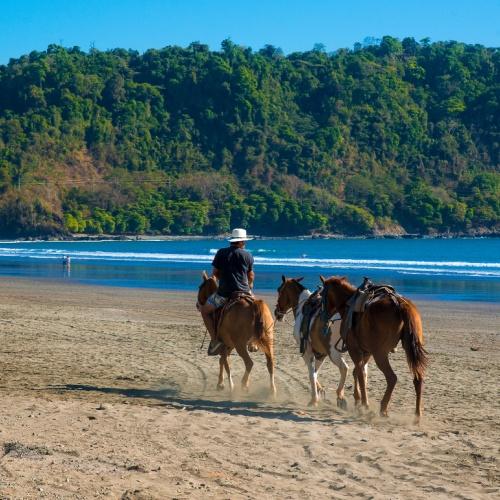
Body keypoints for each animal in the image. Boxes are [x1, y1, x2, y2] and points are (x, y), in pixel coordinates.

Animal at [318, 276, 428, 420]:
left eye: (322, 296)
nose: (322, 316)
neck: (348, 304)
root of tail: (399, 304)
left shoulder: (355, 350)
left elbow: (359, 373)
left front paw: (364, 404)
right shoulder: (367, 351)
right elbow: (357, 372)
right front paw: (358, 400)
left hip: (380, 354)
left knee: (392, 378)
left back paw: (383, 409)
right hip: (407, 348)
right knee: (418, 379)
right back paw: (417, 416)